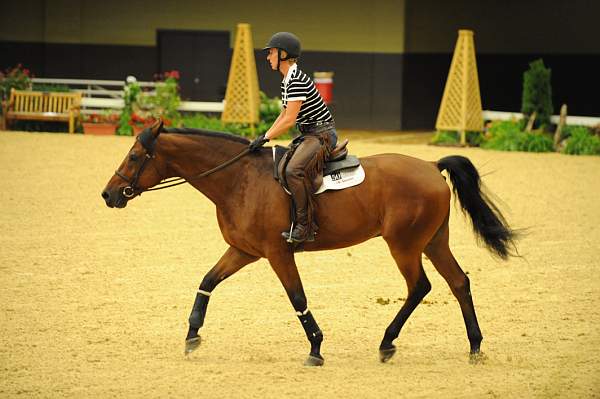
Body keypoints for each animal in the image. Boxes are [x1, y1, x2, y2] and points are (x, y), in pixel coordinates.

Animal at [99, 122, 516, 368]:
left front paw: (315, 346)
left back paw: (387, 342)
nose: (108, 194)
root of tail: (430, 165)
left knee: (420, 287)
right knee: (458, 282)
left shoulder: (277, 253)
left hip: (405, 245)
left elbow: (297, 298)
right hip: (433, 241)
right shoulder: (244, 251)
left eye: (134, 156)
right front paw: (192, 335)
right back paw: (474, 346)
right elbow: (207, 281)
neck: (239, 179)